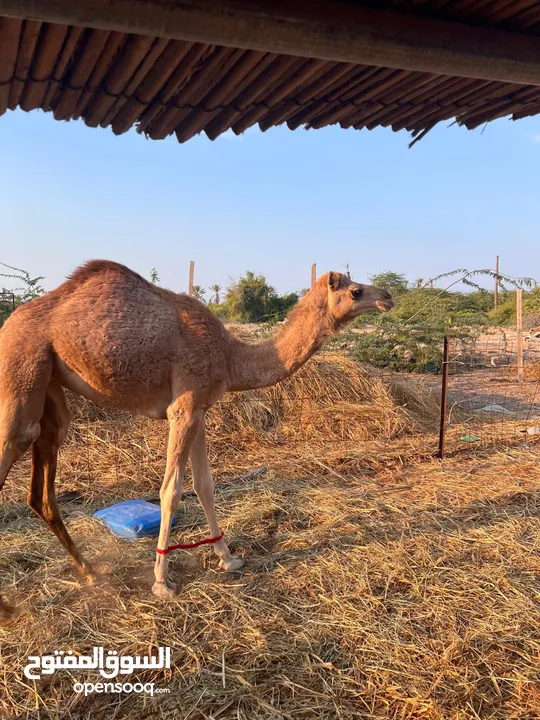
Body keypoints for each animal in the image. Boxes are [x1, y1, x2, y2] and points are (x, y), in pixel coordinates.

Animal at [0, 262, 394, 620]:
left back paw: (90, 573)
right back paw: (8, 607)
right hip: (21, 372)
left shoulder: (201, 409)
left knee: (42, 481)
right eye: (356, 290)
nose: (388, 297)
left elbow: (205, 484)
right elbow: (171, 490)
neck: (232, 357)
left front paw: (229, 559)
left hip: (49, 390)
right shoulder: (184, 407)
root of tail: (10, 324)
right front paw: (162, 582)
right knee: (17, 441)